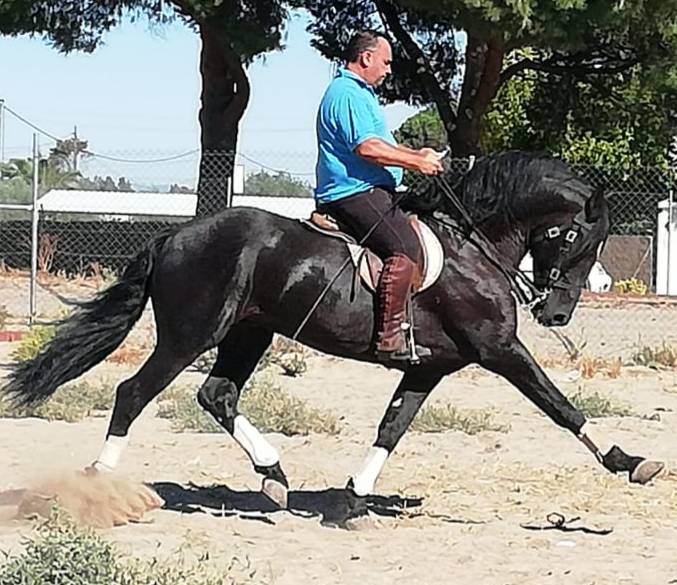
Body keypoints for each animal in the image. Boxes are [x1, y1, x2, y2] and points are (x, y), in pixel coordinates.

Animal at [3, 151, 663, 512]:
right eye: (578, 236)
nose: (557, 314)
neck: (472, 245)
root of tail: (175, 235)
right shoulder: (499, 349)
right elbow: (560, 406)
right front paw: (628, 460)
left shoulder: (431, 365)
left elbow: (392, 427)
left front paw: (351, 497)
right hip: (190, 335)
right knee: (134, 393)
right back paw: (101, 486)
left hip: (249, 334)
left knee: (217, 395)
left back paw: (273, 477)